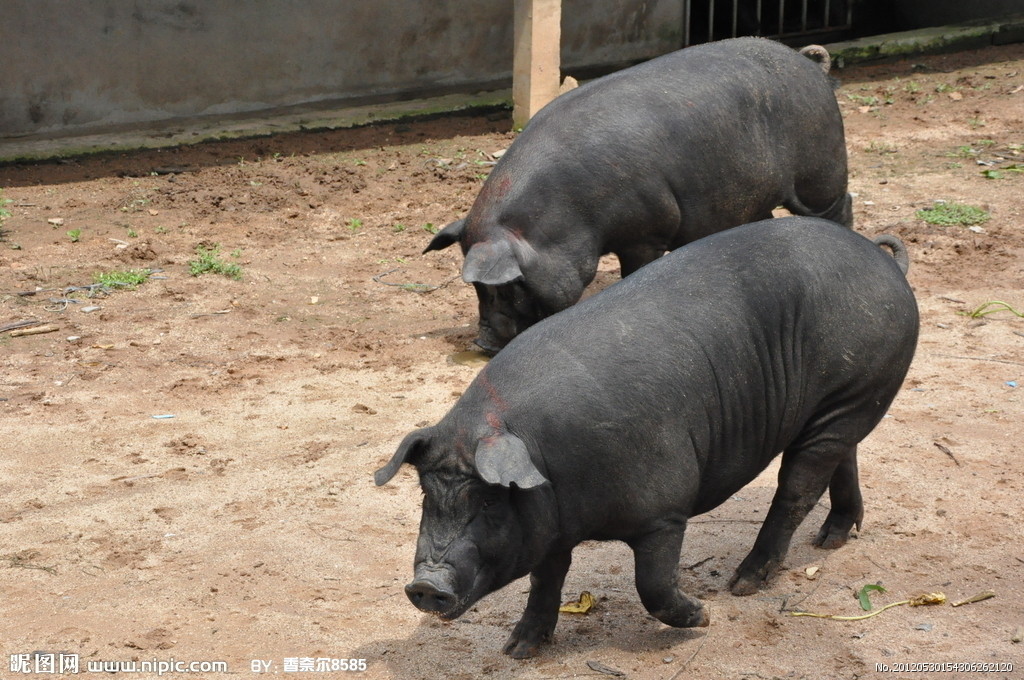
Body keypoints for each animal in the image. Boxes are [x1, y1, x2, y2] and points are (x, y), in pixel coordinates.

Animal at [378, 218, 921, 659]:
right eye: (426, 495)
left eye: (490, 502)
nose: (425, 584)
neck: (552, 465)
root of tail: (882, 259)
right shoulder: (551, 527)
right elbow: (545, 579)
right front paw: (518, 650)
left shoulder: (664, 511)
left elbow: (652, 584)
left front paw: (704, 616)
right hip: (845, 403)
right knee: (844, 457)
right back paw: (832, 540)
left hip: (851, 392)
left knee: (798, 489)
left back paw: (743, 584)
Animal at [421, 35, 847, 356]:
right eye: (477, 289)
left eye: (508, 286)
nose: (481, 343)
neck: (566, 218)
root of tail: (808, 63)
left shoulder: (646, 232)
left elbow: (635, 271)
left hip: (822, 167)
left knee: (838, 207)